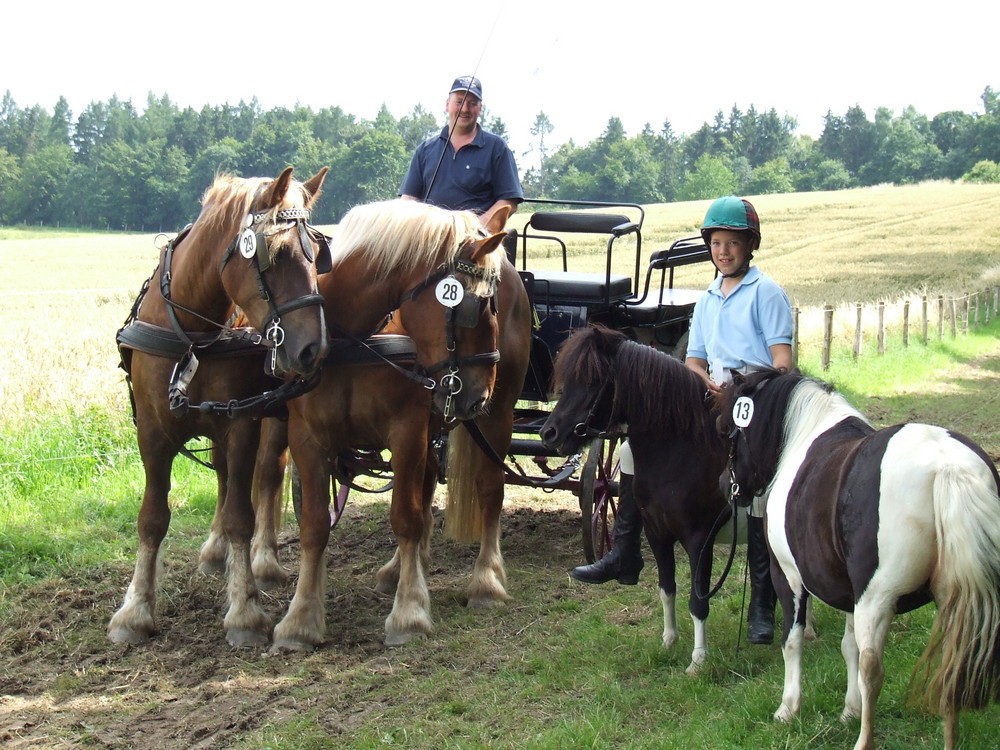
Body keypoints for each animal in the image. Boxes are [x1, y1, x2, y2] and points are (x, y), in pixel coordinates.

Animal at [108, 167, 330, 648]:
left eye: (317, 254)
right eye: (275, 254)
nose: (313, 349)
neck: (192, 334)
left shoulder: (242, 422)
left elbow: (241, 516)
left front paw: (244, 610)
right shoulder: (152, 430)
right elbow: (152, 517)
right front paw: (134, 611)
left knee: (266, 475)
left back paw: (262, 561)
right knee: (229, 479)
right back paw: (217, 553)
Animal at [544, 326, 740, 680]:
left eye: (593, 380)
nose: (549, 433)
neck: (682, 451)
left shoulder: (699, 540)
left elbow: (698, 600)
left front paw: (698, 660)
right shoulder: (657, 534)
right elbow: (666, 587)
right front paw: (669, 641)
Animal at [716, 370, 1000, 750]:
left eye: (724, 429)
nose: (725, 485)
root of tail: (947, 467)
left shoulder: (790, 578)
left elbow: (793, 641)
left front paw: (788, 709)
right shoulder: (851, 593)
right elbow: (848, 646)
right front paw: (849, 710)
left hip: (878, 599)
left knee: (873, 669)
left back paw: (864, 740)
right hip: (949, 599)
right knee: (954, 664)